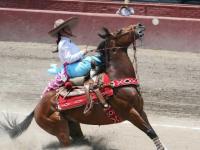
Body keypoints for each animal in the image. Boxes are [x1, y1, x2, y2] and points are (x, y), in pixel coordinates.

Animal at [0, 23, 167, 150]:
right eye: (120, 30)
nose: (139, 25)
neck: (117, 78)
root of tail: (37, 107)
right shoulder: (129, 112)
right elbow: (149, 131)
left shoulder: (140, 110)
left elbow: (153, 130)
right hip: (60, 130)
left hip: (73, 125)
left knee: (79, 139)